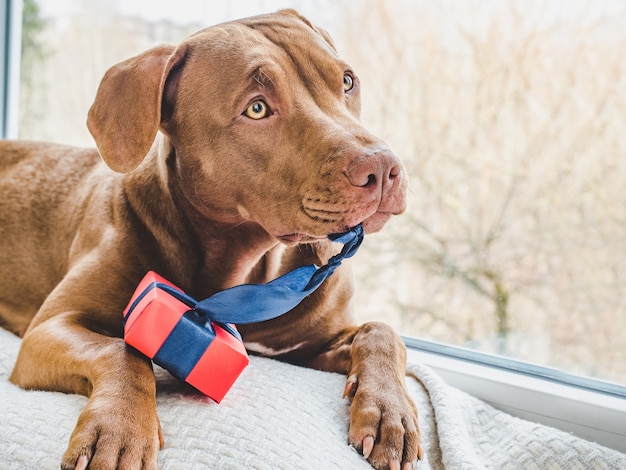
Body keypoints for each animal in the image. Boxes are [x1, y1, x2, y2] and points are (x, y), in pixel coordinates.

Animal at [1, 8, 420, 470]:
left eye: (346, 81)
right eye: (256, 108)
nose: (382, 167)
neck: (251, 267)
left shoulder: (306, 346)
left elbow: (381, 332)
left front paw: (390, 412)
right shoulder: (49, 328)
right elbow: (119, 350)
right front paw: (118, 429)